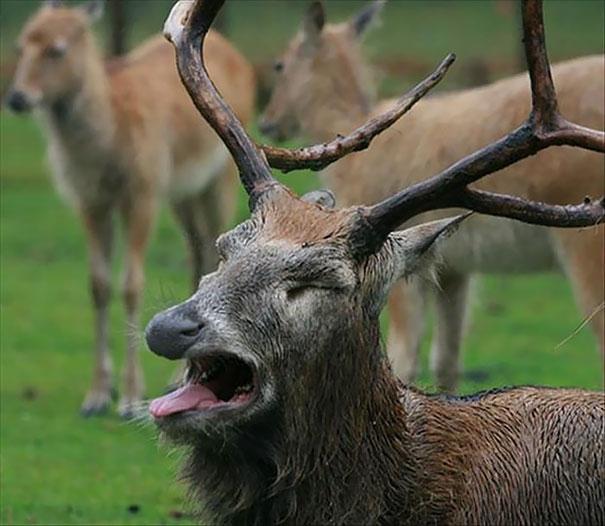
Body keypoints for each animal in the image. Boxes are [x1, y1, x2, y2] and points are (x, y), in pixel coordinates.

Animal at [6, 1, 258, 420]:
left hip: (219, 177)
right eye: (21, 45)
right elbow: (98, 283)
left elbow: (131, 284)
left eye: (57, 49)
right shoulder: (89, 199)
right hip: (182, 192)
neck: (105, 145)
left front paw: (127, 398)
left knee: (214, 249)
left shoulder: (143, 191)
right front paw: (95, 395)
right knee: (197, 250)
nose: (17, 97)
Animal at [258, 0, 600, 394]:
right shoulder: (454, 268)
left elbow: (404, 356)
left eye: (279, 64)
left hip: (587, 244)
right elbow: (446, 360)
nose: (267, 123)